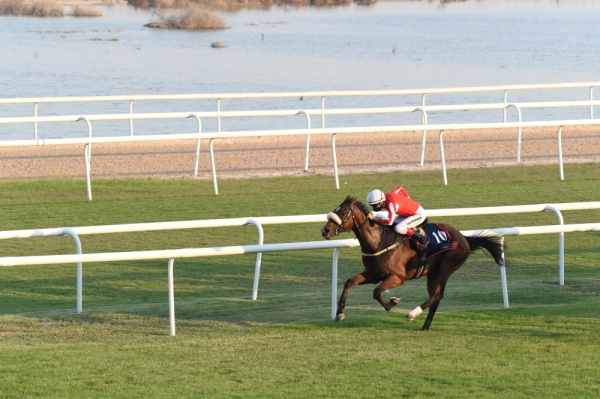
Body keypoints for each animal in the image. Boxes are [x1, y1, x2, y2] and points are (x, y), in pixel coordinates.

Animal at [322, 196, 504, 332]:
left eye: (343, 211)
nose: (324, 230)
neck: (378, 242)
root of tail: (464, 238)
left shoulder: (398, 277)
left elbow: (376, 292)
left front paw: (393, 302)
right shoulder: (373, 274)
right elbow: (349, 282)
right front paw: (339, 313)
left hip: (447, 267)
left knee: (436, 295)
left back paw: (412, 313)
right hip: (432, 274)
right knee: (435, 297)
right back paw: (425, 326)